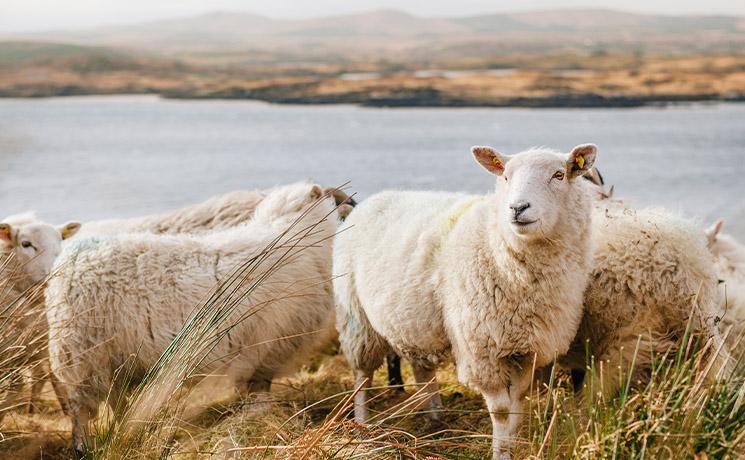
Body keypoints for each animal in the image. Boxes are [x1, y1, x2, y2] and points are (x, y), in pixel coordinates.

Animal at [44, 181, 340, 452]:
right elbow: (258, 393)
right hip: (81, 355)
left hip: (112, 360)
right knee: (80, 411)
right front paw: (260, 420)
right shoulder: (265, 350)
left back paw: (125, 432)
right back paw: (83, 447)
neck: (293, 236)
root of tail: (65, 265)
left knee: (116, 402)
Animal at [336, 143, 600, 456]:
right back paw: (362, 426)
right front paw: (500, 453)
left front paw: (513, 443)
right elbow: (501, 410)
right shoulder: (482, 349)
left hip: (412, 322)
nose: (517, 208)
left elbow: (518, 402)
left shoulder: (528, 349)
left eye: (559, 174)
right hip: (356, 317)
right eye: (506, 176)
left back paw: (435, 420)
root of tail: (370, 201)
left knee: (422, 369)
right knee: (362, 375)